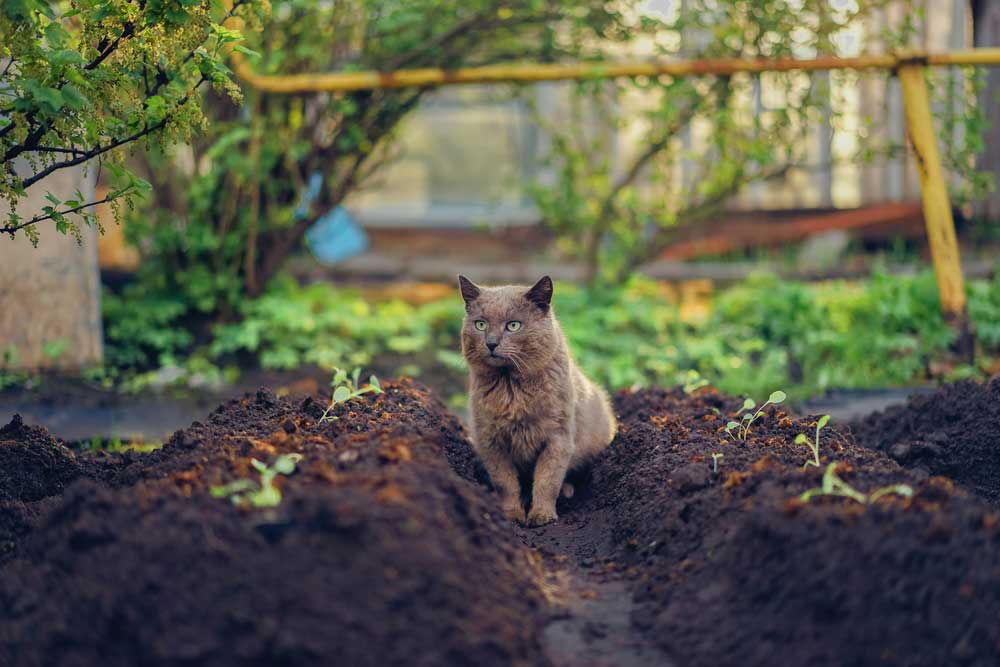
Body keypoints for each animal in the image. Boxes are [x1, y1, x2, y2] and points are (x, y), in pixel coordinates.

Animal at [460, 274, 616, 524]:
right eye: (480, 324)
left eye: (513, 325)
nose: (491, 343)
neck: (511, 388)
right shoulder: (490, 439)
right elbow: (506, 483)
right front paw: (512, 514)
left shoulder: (558, 437)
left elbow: (547, 480)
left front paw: (542, 515)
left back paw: (567, 491)